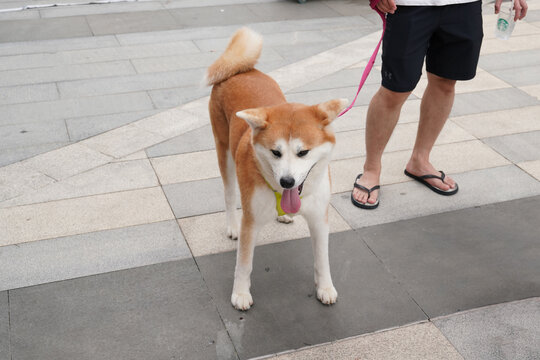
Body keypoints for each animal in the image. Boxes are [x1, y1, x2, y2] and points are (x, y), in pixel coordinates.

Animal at [205, 27, 348, 310]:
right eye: (275, 152)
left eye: (303, 152)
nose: (287, 182)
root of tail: (240, 71)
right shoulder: (251, 221)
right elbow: (244, 264)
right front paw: (240, 293)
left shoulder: (319, 218)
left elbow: (322, 260)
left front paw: (325, 287)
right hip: (224, 151)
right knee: (229, 194)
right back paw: (231, 225)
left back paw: (283, 216)